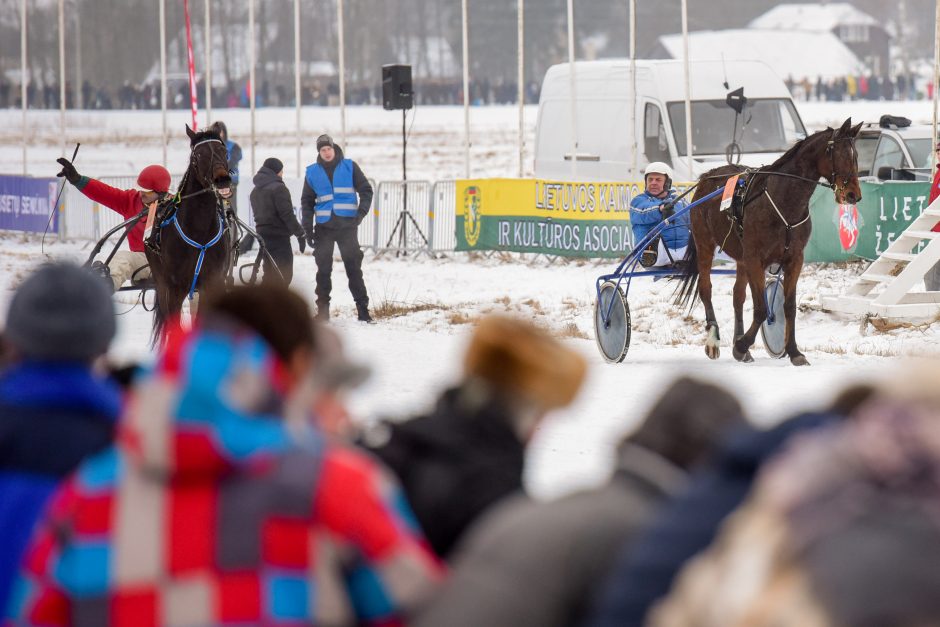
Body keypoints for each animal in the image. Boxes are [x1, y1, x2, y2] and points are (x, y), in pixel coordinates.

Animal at [148, 123, 237, 346]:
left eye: (224, 150)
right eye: (198, 155)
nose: (222, 180)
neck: (199, 232)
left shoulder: (212, 284)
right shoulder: (175, 287)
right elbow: (175, 327)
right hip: (162, 282)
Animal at [672, 116, 864, 368]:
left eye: (856, 155)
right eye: (840, 154)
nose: (853, 195)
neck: (784, 203)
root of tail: (708, 177)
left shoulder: (794, 259)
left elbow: (789, 307)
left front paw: (793, 351)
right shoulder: (756, 259)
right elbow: (762, 309)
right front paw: (741, 345)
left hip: (741, 257)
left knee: (737, 296)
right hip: (705, 243)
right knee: (706, 289)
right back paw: (714, 339)